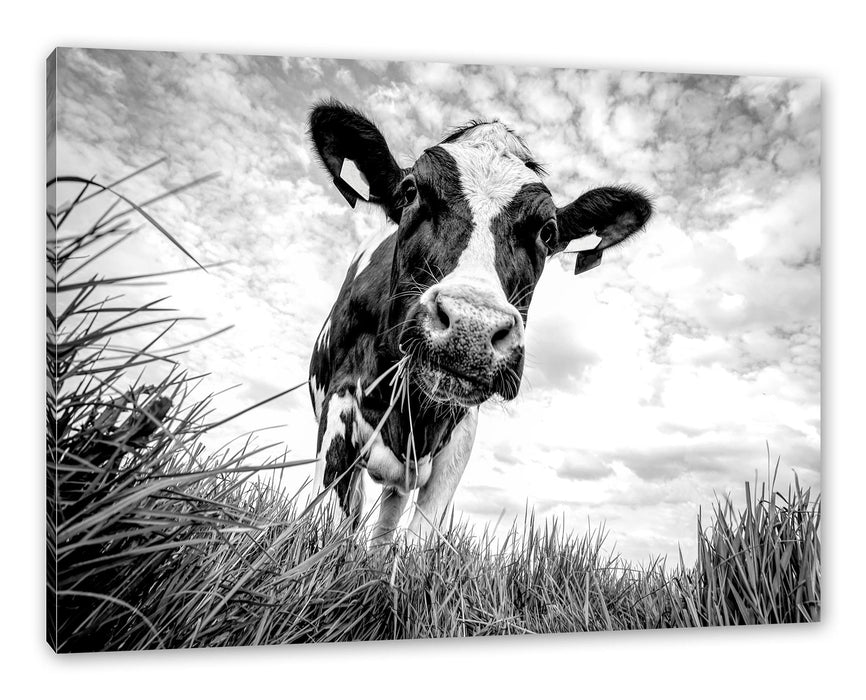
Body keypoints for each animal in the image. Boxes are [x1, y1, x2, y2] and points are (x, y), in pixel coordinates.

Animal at [307, 100, 652, 543]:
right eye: (411, 191)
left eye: (548, 231)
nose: (472, 328)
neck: (412, 412)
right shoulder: (339, 403)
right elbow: (328, 532)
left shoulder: (461, 434)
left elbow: (418, 539)